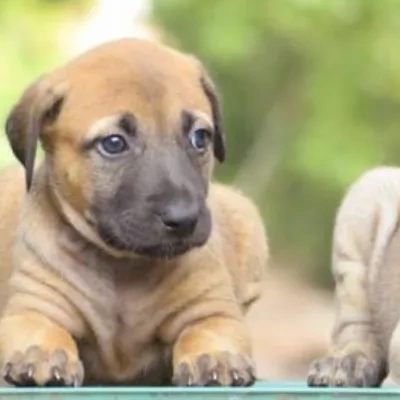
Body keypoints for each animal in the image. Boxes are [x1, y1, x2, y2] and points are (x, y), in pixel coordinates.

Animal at [0, 39, 270, 386]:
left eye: (201, 137)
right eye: (114, 144)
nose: (184, 219)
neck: (124, 268)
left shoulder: (212, 310)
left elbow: (205, 331)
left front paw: (215, 356)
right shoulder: (32, 307)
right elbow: (41, 328)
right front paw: (43, 352)